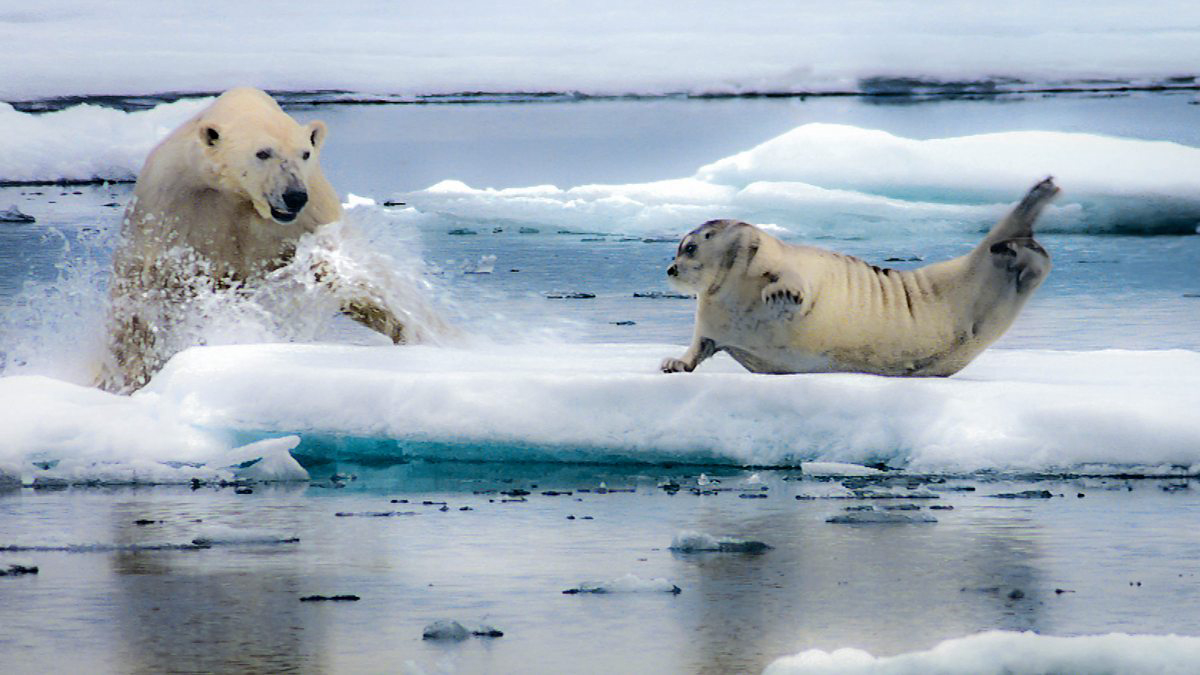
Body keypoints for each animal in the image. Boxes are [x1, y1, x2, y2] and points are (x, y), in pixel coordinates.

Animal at [97, 86, 432, 391]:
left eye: (304, 153)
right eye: (263, 152)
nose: (294, 195)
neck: (238, 196)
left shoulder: (310, 214)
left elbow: (348, 274)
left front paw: (413, 333)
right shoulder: (172, 205)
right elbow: (148, 291)